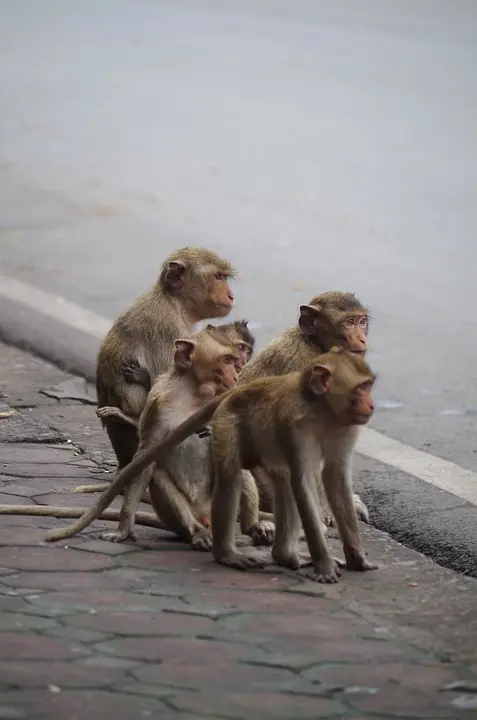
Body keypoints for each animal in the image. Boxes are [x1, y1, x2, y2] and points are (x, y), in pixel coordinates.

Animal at [44, 330, 272, 544]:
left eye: (233, 361)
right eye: (226, 360)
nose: (235, 377)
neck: (194, 395)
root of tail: (204, 515)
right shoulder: (157, 404)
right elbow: (146, 457)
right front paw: (124, 526)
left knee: (235, 465)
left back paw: (252, 527)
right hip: (180, 517)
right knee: (158, 477)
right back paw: (198, 533)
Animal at [207, 350, 376, 584]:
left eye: (368, 385)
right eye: (361, 387)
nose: (371, 405)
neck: (323, 412)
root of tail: (235, 391)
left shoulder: (346, 427)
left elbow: (336, 479)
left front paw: (357, 558)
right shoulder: (295, 427)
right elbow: (303, 481)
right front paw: (324, 565)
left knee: (283, 483)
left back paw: (285, 556)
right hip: (226, 423)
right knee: (229, 478)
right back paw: (226, 554)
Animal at [240, 290, 370, 524]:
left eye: (362, 322)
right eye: (349, 323)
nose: (363, 338)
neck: (317, 345)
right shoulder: (303, 367)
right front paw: (327, 511)